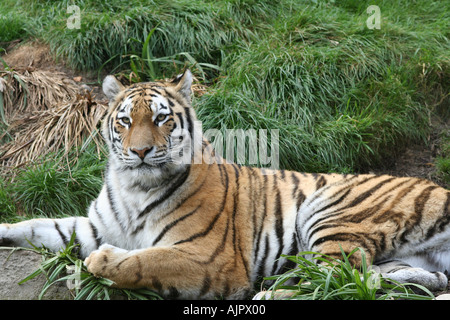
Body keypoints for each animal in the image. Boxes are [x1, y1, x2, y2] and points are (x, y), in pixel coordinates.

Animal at [0, 68, 448, 300]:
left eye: (161, 118)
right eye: (125, 121)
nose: (141, 152)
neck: (134, 187)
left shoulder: (210, 257)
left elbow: (148, 260)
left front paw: (102, 263)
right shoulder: (94, 226)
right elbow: (36, 226)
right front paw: (5, 229)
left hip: (331, 210)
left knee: (334, 281)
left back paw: (270, 293)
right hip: (405, 259)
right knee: (376, 279)